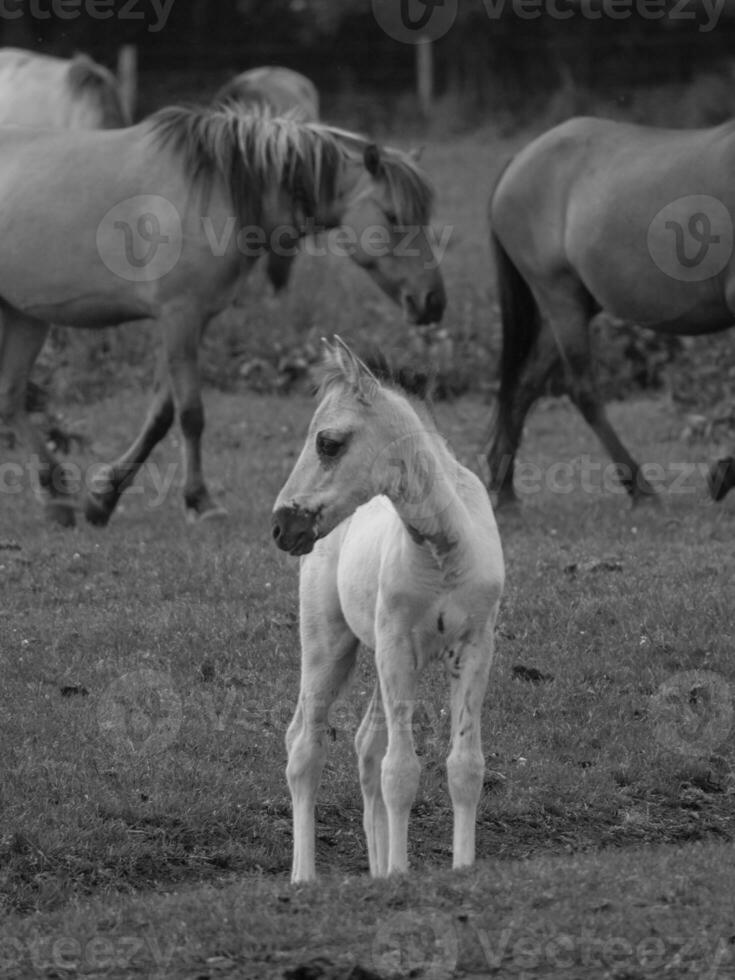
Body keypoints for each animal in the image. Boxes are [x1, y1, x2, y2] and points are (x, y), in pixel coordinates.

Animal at [0, 105, 448, 528]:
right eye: (393, 216)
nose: (433, 301)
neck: (216, 189)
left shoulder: (193, 322)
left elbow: (161, 414)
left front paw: (104, 497)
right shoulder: (179, 316)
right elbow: (190, 414)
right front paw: (201, 501)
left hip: (25, 316)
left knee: (11, 397)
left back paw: (56, 496)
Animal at [272, 336, 506, 880]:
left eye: (329, 443)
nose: (281, 526)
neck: (445, 549)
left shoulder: (475, 647)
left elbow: (464, 765)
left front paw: (460, 868)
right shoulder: (399, 647)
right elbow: (400, 770)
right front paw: (400, 874)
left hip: (377, 654)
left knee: (364, 744)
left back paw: (374, 868)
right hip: (330, 645)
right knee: (304, 745)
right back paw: (304, 876)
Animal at [488, 117, 735, 506]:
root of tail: (518, 160)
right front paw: (723, 473)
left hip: (573, 307)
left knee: (525, 384)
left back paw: (506, 492)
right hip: (560, 298)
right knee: (583, 392)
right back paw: (641, 489)